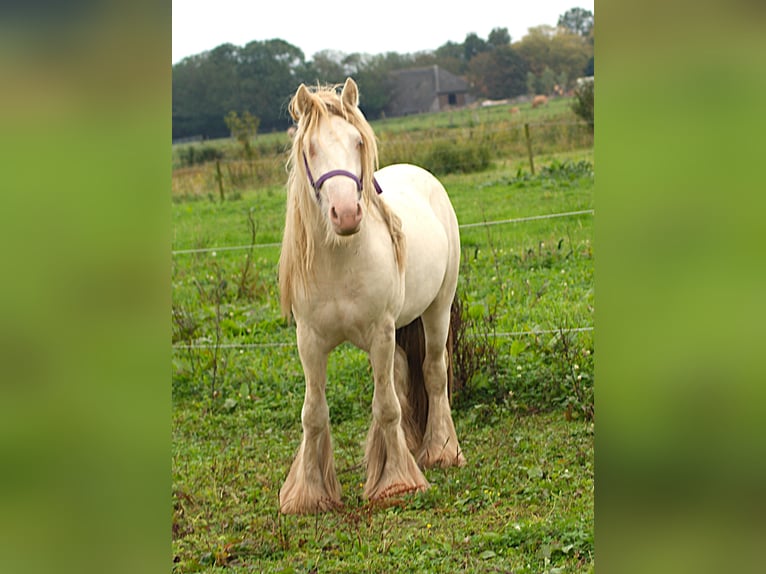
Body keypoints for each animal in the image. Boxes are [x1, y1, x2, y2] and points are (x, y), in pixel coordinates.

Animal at [280, 77, 464, 516]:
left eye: (357, 142)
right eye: (311, 148)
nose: (346, 214)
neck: (340, 259)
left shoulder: (380, 332)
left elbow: (386, 406)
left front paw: (396, 482)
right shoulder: (309, 341)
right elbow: (314, 413)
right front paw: (309, 493)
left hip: (437, 309)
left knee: (433, 373)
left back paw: (441, 450)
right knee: (400, 377)